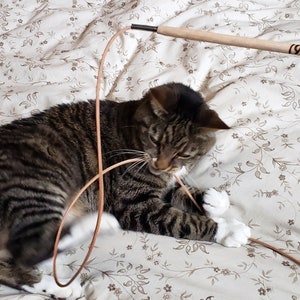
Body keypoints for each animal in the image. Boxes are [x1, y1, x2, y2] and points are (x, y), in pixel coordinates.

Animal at [0, 83, 250, 294]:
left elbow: (178, 190)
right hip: (39, 186)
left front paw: (213, 199)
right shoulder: (134, 203)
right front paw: (227, 229)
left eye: (183, 154)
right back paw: (95, 227)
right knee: (30, 248)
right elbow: (182, 220)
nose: (160, 164)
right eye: (155, 140)